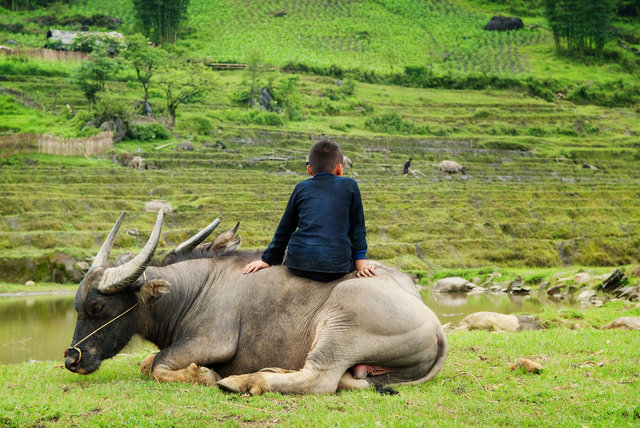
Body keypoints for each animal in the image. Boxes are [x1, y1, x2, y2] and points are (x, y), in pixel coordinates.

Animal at [63, 211, 444, 394]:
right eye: (78, 307)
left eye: (98, 308)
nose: (71, 358)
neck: (193, 290)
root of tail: (437, 328)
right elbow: (147, 363)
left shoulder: (211, 341)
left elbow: (157, 365)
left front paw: (204, 374)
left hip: (340, 326)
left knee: (320, 378)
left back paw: (243, 382)